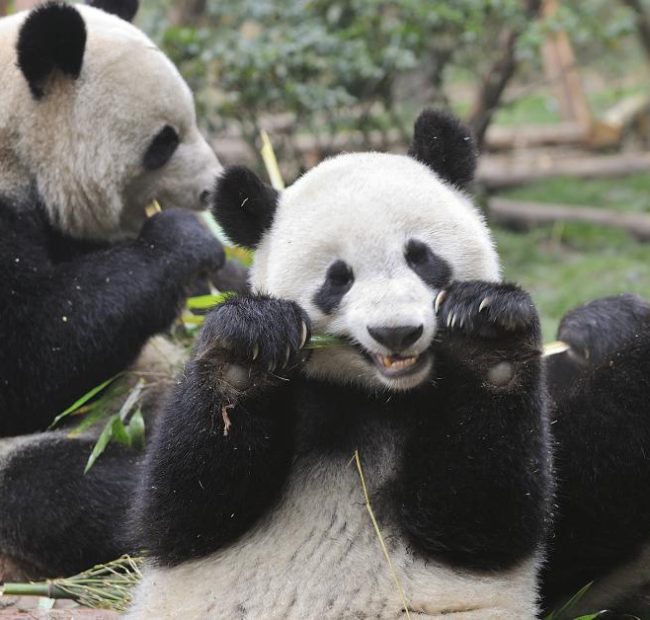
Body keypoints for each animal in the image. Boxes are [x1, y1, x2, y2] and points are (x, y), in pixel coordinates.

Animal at [127, 109, 554, 619]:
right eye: (338, 278)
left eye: (422, 257)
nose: (396, 332)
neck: (373, 395)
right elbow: (182, 510)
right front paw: (250, 345)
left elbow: (482, 515)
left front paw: (487, 335)